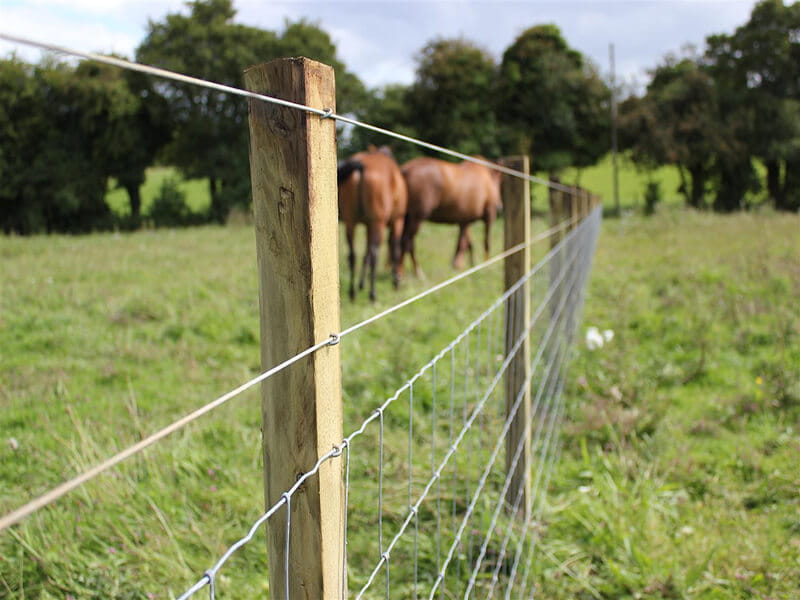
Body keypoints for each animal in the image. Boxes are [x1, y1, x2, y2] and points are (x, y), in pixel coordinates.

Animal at [336, 145, 406, 302]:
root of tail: (361, 165)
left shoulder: (367, 225)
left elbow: (365, 253)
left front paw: (361, 284)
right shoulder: (397, 220)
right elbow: (395, 249)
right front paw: (396, 280)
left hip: (351, 221)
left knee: (353, 255)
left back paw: (352, 292)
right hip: (378, 223)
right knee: (375, 254)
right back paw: (372, 294)